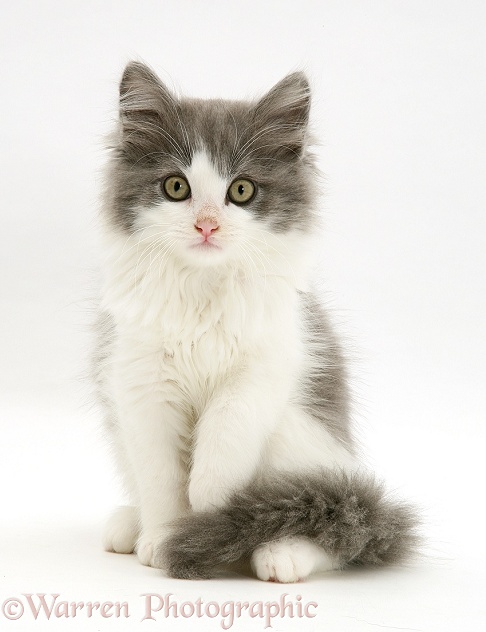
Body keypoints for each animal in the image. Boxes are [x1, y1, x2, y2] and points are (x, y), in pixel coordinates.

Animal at [96, 61, 418, 580]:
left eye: (241, 190)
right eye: (176, 187)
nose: (207, 224)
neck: (203, 292)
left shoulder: (266, 366)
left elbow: (223, 437)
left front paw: (207, 510)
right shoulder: (141, 384)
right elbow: (162, 477)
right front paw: (165, 536)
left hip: (302, 437)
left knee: (337, 525)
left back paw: (279, 551)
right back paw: (131, 523)